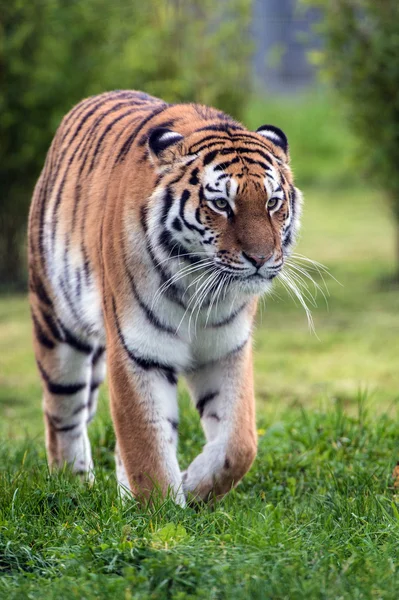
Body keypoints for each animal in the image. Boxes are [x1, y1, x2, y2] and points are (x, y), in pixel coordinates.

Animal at [28, 89, 304, 504]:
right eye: (221, 204)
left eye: (272, 202)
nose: (261, 259)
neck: (204, 288)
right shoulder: (138, 350)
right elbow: (147, 446)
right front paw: (162, 512)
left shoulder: (226, 348)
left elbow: (239, 445)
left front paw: (191, 485)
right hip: (57, 326)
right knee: (61, 415)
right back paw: (72, 485)